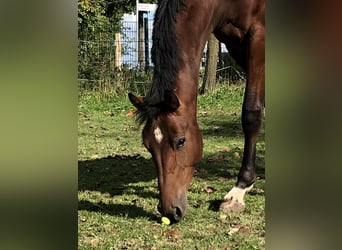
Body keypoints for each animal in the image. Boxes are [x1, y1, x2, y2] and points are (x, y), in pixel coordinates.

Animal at [128, 0, 264, 223]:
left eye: (181, 141)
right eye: (148, 146)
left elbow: (251, 113)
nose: (170, 211)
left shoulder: (258, 36)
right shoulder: (236, 43)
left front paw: (239, 190)